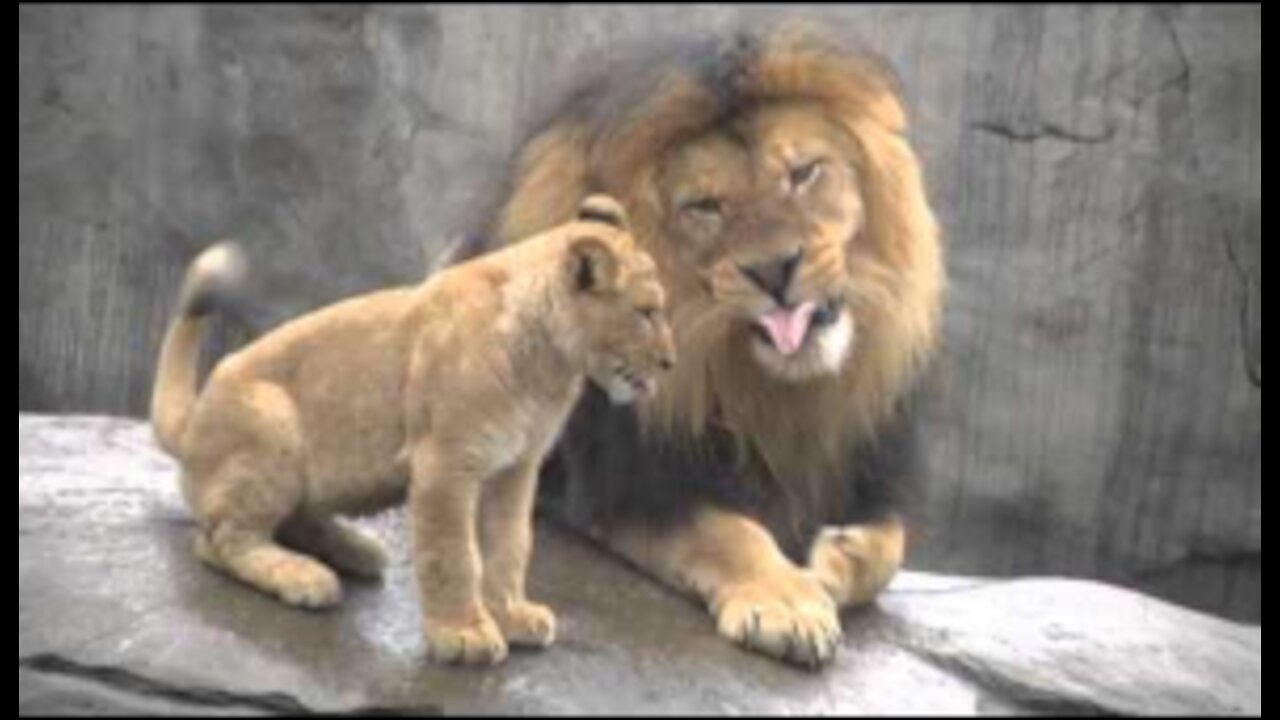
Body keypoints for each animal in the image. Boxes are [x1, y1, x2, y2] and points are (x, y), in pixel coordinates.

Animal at [458, 28, 942, 666]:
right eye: (706, 205)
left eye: (804, 172)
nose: (774, 270)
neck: (772, 393)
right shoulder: (627, 485)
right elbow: (727, 531)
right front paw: (785, 603)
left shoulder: (871, 463)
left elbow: (893, 542)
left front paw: (838, 557)